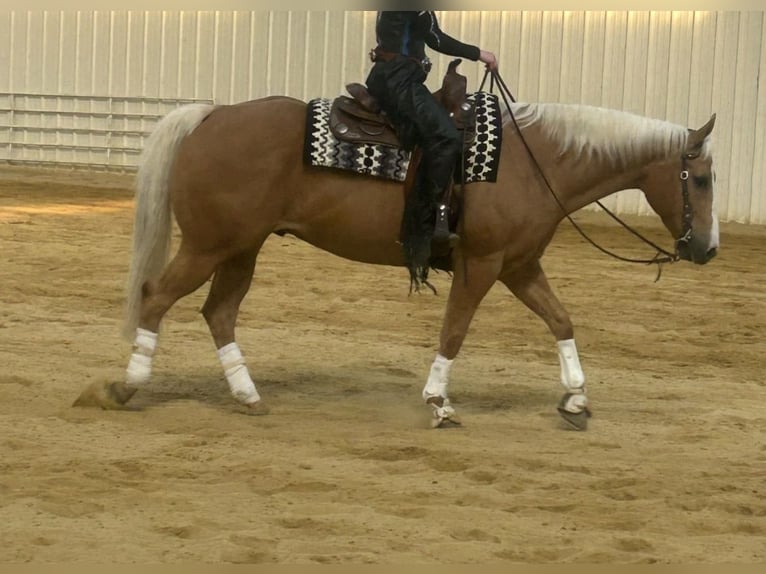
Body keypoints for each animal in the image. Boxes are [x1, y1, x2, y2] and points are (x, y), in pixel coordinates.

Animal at [73, 88, 719, 431]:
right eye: (704, 178)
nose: (707, 249)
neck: (534, 163)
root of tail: (211, 114)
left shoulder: (519, 266)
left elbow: (561, 320)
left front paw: (576, 399)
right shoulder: (482, 265)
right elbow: (454, 331)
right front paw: (438, 403)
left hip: (241, 249)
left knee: (219, 313)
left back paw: (247, 395)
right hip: (210, 245)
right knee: (158, 296)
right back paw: (126, 387)